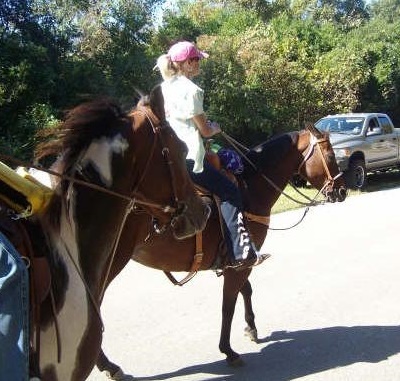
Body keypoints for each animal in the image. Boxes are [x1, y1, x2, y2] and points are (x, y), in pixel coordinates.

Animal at [96, 122, 346, 378]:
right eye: (330, 155)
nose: (342, 191)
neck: (250, 188)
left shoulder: (236, 260)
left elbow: (246, 291)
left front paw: (251, 328)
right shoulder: (241, 263)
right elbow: (228, 305)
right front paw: (228, 350)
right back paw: (109, 366)